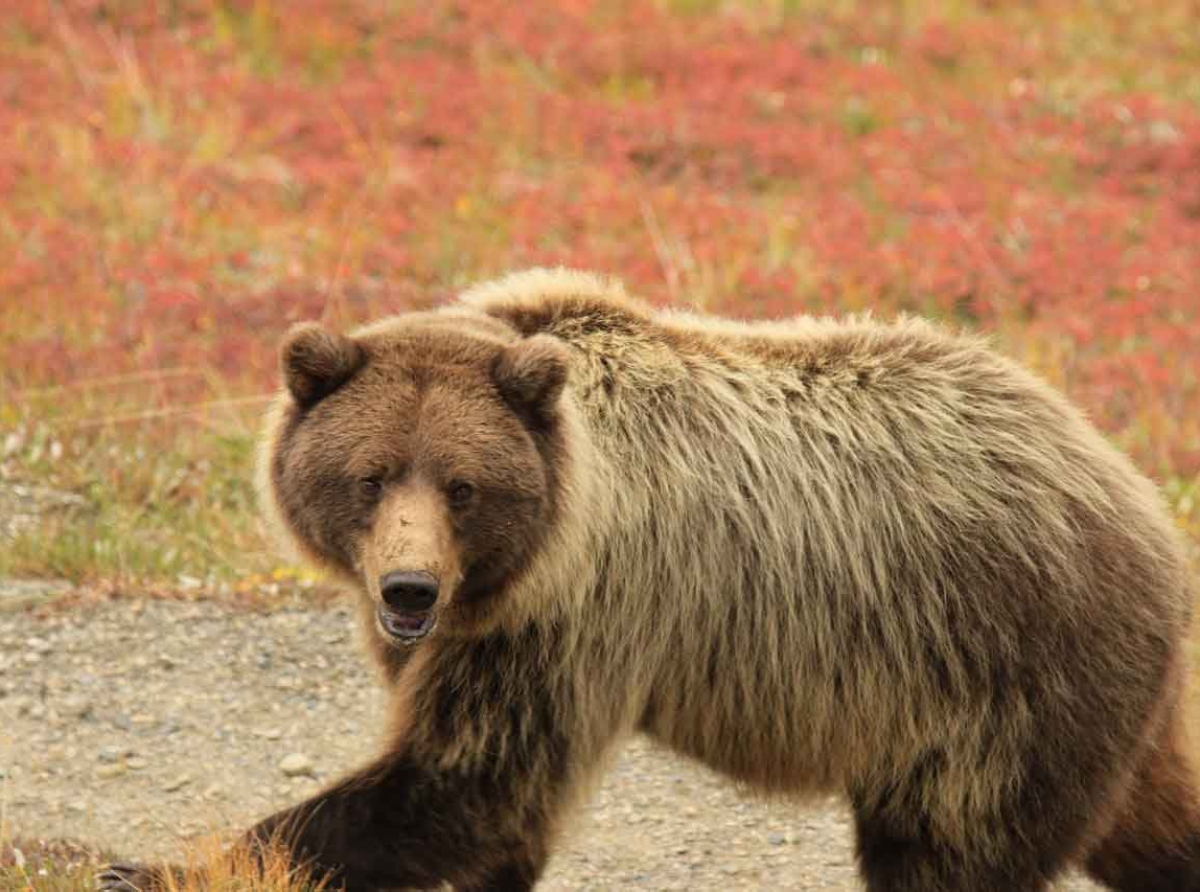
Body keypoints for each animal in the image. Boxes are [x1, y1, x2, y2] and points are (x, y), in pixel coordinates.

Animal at [105, 270, 1200, 892]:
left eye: (462, 485)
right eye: (368, 476)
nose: (408, 590)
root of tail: (1133, 492)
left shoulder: (578, 608)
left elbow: (460, 780)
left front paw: (146, 860)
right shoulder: (478, 630)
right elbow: (488, 809)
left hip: (993, 676)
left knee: (948, 849)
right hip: (1086, 701)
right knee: (1148, 825)